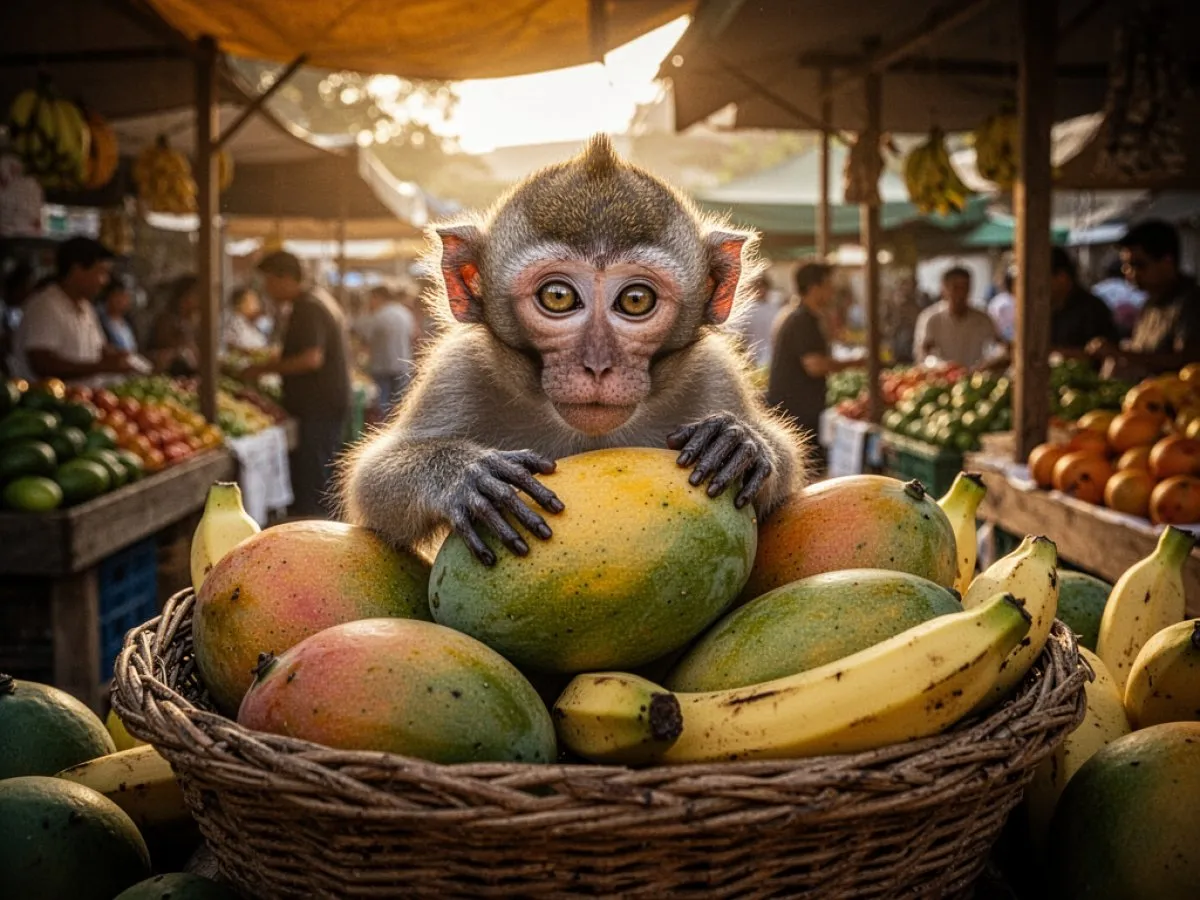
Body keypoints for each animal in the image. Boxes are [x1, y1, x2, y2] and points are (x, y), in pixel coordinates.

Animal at [339, 135, 809, 566]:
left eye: (635, 300)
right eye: (559, 296)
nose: (597, 366)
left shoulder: (714, 372)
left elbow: (784, 477)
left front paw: (738, 441)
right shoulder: (458, 370)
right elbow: (373, 487)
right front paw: (466, 475)